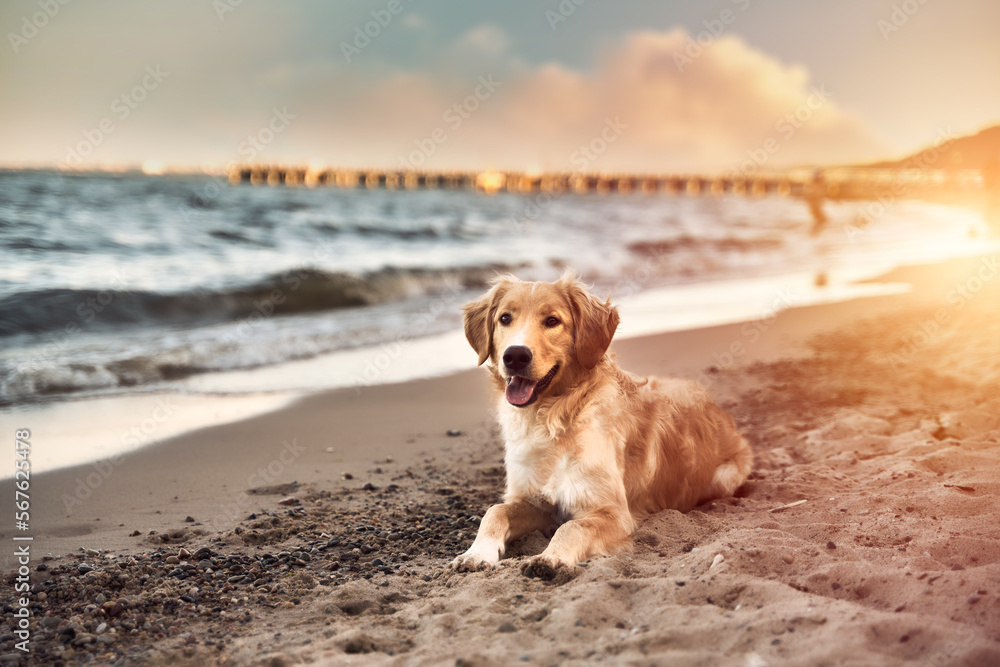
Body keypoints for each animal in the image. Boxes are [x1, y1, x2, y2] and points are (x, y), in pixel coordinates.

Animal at [452, 272, 752, 580]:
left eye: (552, 321)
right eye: (505, 318)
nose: (515, 356)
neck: (549, 418)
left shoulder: (613, 513)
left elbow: (572, 526)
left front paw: (550, 558)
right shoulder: (537, 502)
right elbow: (495, 511)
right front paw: (476, 553)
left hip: (723, 477)